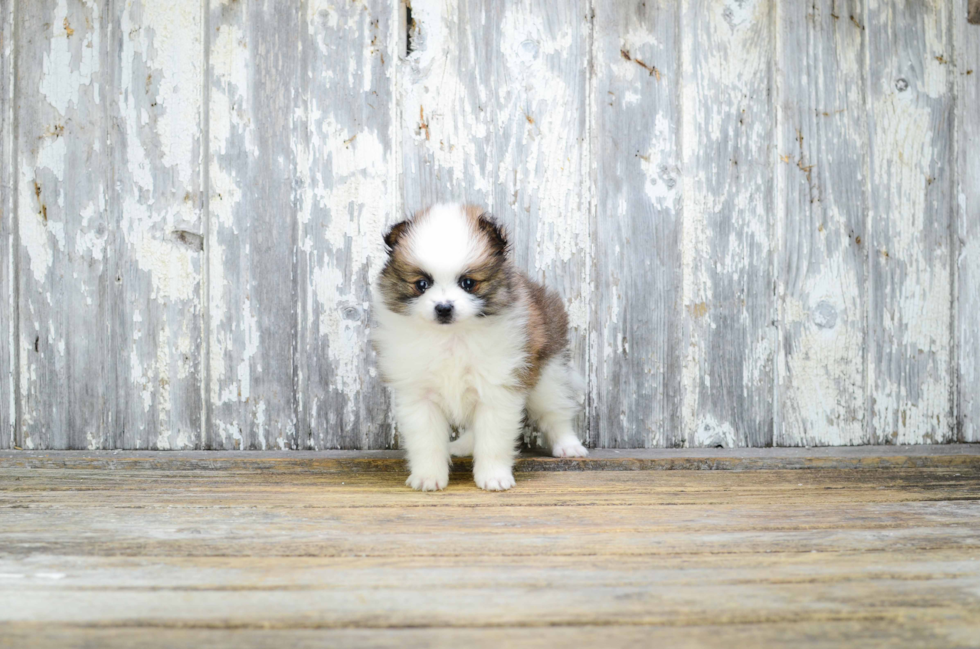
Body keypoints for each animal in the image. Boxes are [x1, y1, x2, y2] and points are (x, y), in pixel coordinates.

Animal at [374, 202, 588, 492]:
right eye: (422, 284)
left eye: (468, 283)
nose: (443, 308)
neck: (452, 337)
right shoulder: (420, 396)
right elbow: (426, 442)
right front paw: (428, 477)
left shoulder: (498, 388)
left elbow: (494, 441)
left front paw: (494, 477)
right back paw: (463, 446)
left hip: (548, 375)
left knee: (556, 412)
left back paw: (568, 446)